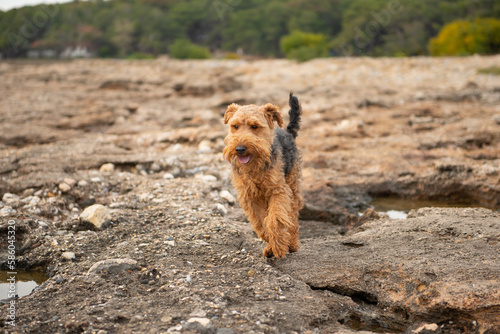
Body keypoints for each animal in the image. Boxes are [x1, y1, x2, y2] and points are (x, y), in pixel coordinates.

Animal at [224, 92, 302, 260]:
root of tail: (287, 132)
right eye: (235, 126)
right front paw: (271, 244)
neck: (254, 166)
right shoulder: (249, 196)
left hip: (293, 185)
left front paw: (278, 246)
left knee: (292, 217)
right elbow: (260, 223)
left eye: (254, 126)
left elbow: (275, 219)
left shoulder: (278, 190)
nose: (240, 149)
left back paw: (292, 244)